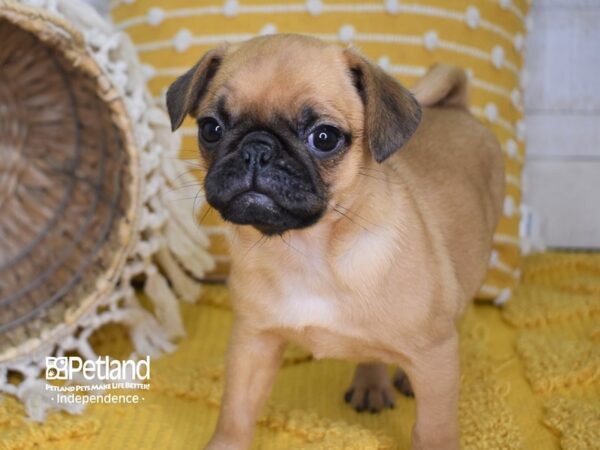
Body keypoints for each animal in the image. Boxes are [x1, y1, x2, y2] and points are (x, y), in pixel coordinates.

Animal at [166, 33, 504, 448]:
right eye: (211, 129)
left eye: (324, 138)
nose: (256, 149)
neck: (310, 250)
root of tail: (456, 105)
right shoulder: (253, 342)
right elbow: (236, 412)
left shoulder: (434, 356)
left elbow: (433, 430)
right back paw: (371, 382)